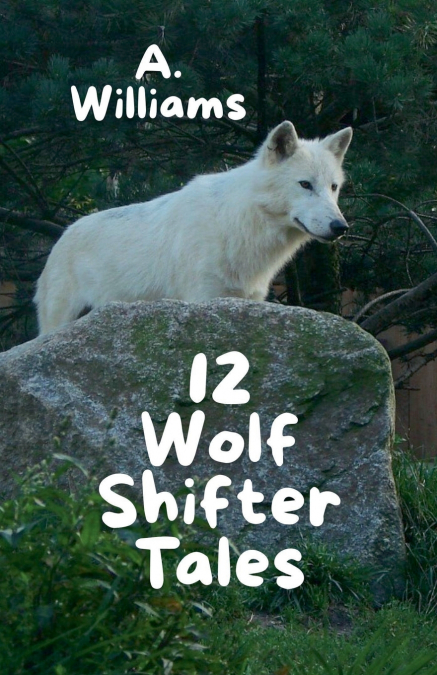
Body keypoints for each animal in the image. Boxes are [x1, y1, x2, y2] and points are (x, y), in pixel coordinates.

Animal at [35, 121, 352, 334]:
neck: (236, 224)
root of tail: (60, 239)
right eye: (305, 184)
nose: (340, 227)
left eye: (333, 187)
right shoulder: (202, 301)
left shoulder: (248, 302)